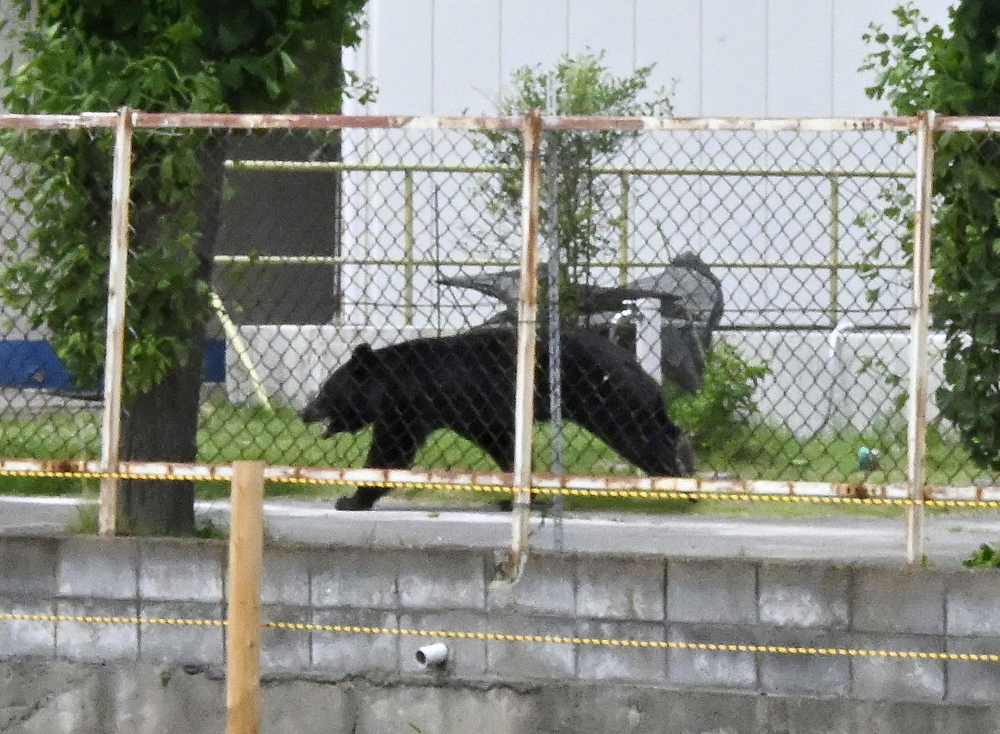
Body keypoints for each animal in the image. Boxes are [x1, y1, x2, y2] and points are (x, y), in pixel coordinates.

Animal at [299, 326, 694, 510]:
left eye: (326, 390)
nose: (304, 412)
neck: (397, 380)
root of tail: (628, 357)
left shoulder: (412, 406)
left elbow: (391, 448)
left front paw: (351, 499)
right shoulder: (472, 411)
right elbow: (502, 442)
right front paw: (514, 494)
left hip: (603, 394)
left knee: (637, 430)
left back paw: (679, 476)